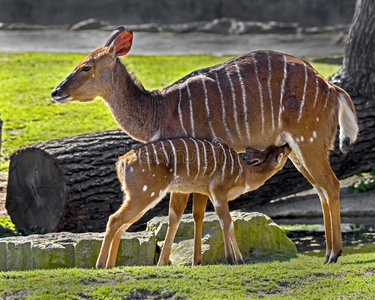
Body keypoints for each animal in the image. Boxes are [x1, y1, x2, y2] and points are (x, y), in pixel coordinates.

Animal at [96, 138, 290, 268]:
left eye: (274, 148)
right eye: (280, 150)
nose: (288, 145)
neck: (243, 175)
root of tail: (122, 162)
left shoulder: (208, 193)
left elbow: (212, 220)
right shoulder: (218, 190)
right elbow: (227, 222)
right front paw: (235, 260)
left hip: (137, 196)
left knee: (122, 225)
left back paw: (110, 265)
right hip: (144, 194)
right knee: (114, 219)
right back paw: (100, 265)